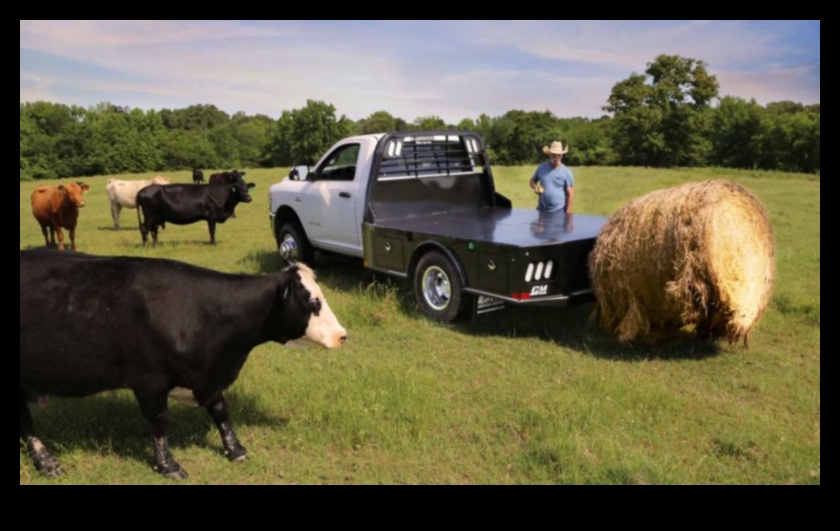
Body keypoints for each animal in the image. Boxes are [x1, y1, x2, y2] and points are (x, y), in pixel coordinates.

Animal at [20, 251, 348, 480]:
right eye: (312, 302)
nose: (342, 335)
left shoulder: (205, 376)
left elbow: (220, 411)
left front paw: (236, 450)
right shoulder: (149, 381)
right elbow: (159, 423)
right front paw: (168, 466)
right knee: (26, 423)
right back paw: (48, 464)